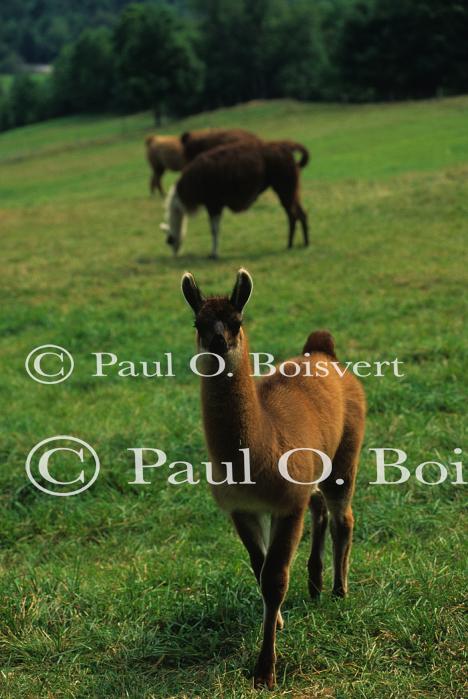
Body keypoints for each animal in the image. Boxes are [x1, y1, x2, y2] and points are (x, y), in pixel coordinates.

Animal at [162, 139, 309, 258]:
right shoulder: (217, 204)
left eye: (169, 240)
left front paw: (214, 254)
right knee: (299, 214)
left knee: (294, 215)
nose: (175, 254)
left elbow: (214, 230)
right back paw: (300, 244)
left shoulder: (213, 203)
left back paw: (294, 244)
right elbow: (216, 228)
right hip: (291, 188)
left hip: (285, 186)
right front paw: (214, 252)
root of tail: (285, 147)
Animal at [181, 268, 366, 688]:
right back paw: (315, 583)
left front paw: (265, 670)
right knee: (320, 507)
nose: (218, 342)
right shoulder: (243, 509)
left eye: (236, 320)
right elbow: (258, 566)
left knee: (342, 516)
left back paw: (339, 590)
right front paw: (277, 622)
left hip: (345, 451)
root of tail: (321, 351)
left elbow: (275, 578)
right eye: (199, 323)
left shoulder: (285, 506)